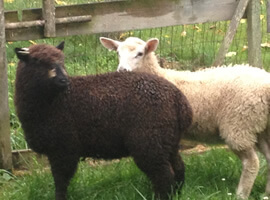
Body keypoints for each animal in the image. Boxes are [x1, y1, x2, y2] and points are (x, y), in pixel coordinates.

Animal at [14, 42, 192, 200]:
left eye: (62, 60)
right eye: (37, 61)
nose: (64, 80)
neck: (54, 102)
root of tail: (179, 101)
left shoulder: (63, 147)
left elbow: (61, 181)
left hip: (149, 141)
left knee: (164, 175)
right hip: (168, 140)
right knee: (178, 168)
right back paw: (177, 193)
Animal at [99, 36, 270, 200]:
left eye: (140, 53)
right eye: (118, 53)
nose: (122, 71)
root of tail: (265, 86)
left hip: (239, 124)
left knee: (251, 163)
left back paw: (241, 194)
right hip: (259, 128)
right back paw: (266, 193)